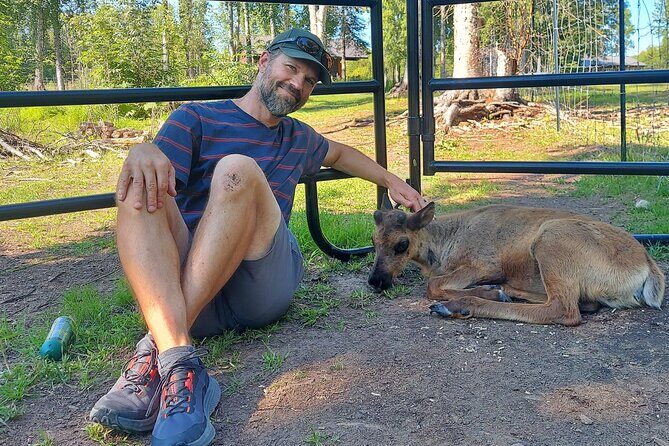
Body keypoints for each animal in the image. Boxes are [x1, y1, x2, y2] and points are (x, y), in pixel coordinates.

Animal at [368, 200, 665, 326]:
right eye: (372, 240)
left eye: (402, 244)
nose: (375, 280)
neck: (444, 244)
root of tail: (648, 266)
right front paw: (493, 290)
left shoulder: (484, 263)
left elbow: (432, 285)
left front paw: (482, 292)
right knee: (584, 303)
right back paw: (501, 291)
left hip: (551, 240)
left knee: (564, 310)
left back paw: (463, 305)